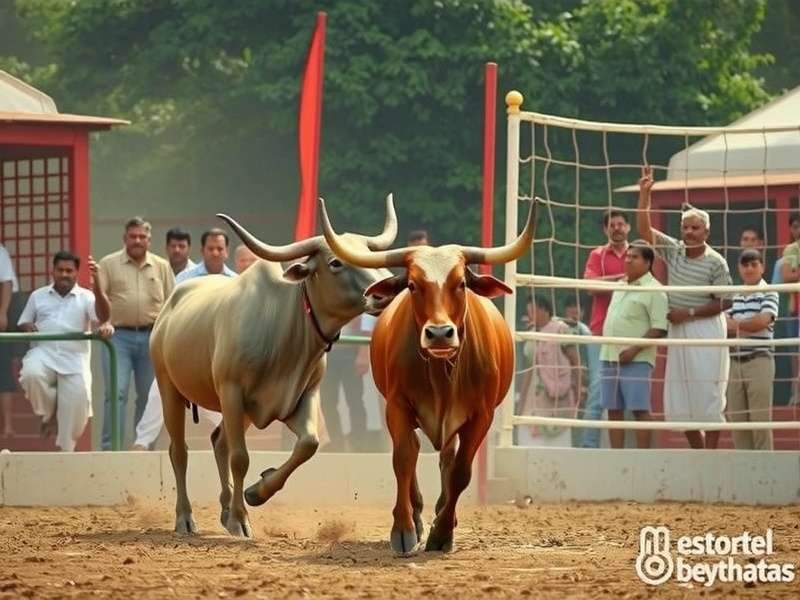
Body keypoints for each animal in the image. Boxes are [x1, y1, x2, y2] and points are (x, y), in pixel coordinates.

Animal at [150, 196, 398, 538]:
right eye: (335, 262)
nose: (385, 291)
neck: (284, 329)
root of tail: (168, 309)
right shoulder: (232, 392)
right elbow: (240, 458)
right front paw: (241, 520)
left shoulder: (299, 396)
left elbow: (308, 444)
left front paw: (256, 492)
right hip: (169, 389)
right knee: (180, 451)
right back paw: (186, 518)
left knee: (218, 441)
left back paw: (225, 509)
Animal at [319, 199, 536, 554]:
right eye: (412, 284)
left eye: (461, 283)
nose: (439, 334)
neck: (441, 374)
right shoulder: (397, 405)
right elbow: (403, 458)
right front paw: (405, 528)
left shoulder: (482, 416)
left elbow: (460, 472)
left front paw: (442, 532)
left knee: (448, 459)